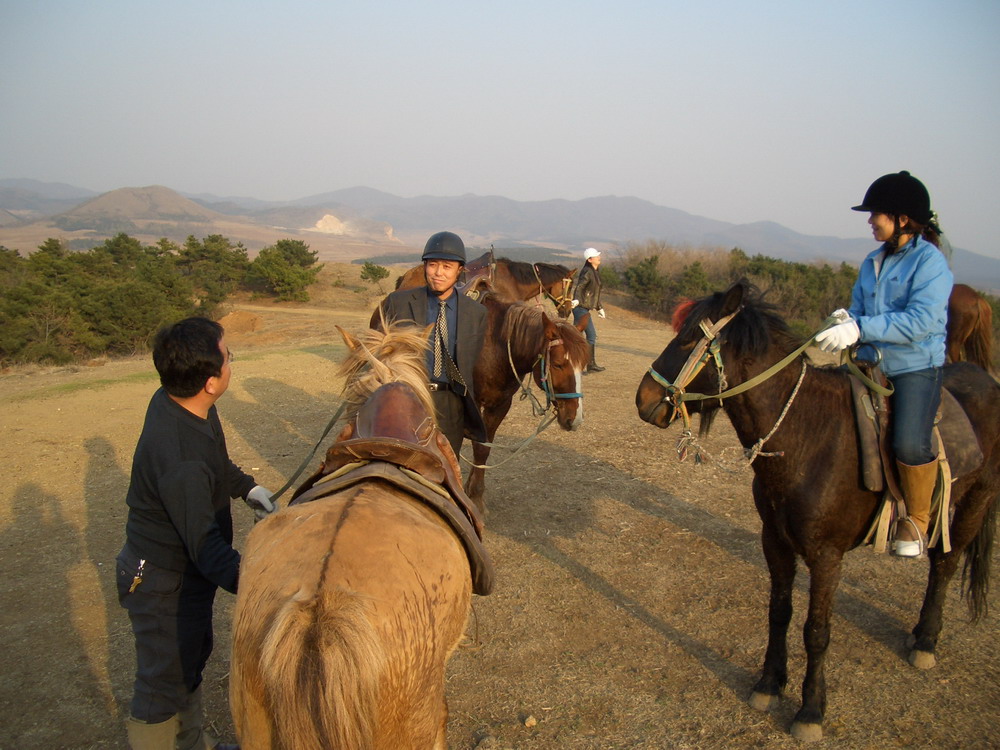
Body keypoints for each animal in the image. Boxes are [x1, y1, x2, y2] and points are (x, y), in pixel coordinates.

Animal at [464, 292, 588, 506]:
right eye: (558, 364)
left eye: (584, 365)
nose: (575, 419)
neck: (492, 346)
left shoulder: (500, 405)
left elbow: (483, 449)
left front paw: (473, 493)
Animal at [636, 280, 996, 744]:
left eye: (685, 340)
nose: (643, 398)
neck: (806, 435)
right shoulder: (775, 541)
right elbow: (779, 612)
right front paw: (769, 684)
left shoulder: (827, 556)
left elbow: (816, 631)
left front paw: (810, 709)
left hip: (976, 501)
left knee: (945, 565)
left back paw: (926, 640)